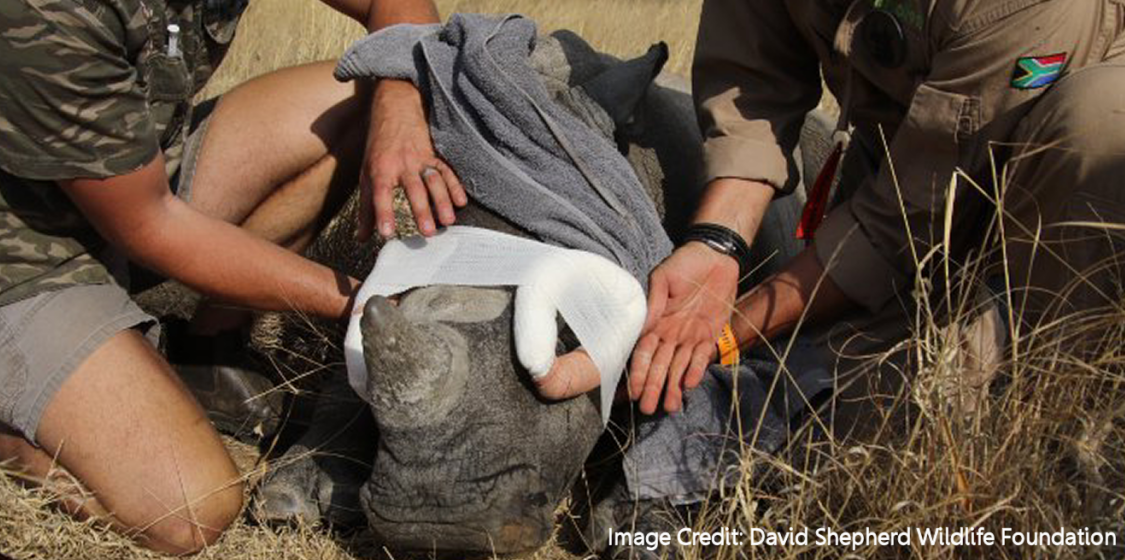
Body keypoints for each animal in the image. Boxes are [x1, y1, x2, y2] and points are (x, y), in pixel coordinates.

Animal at [250, 27, 833, 555]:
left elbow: (681, 383)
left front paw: (643, 531)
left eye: (568, 343)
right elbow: (348, 370)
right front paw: (290, 493)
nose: (432, 526)